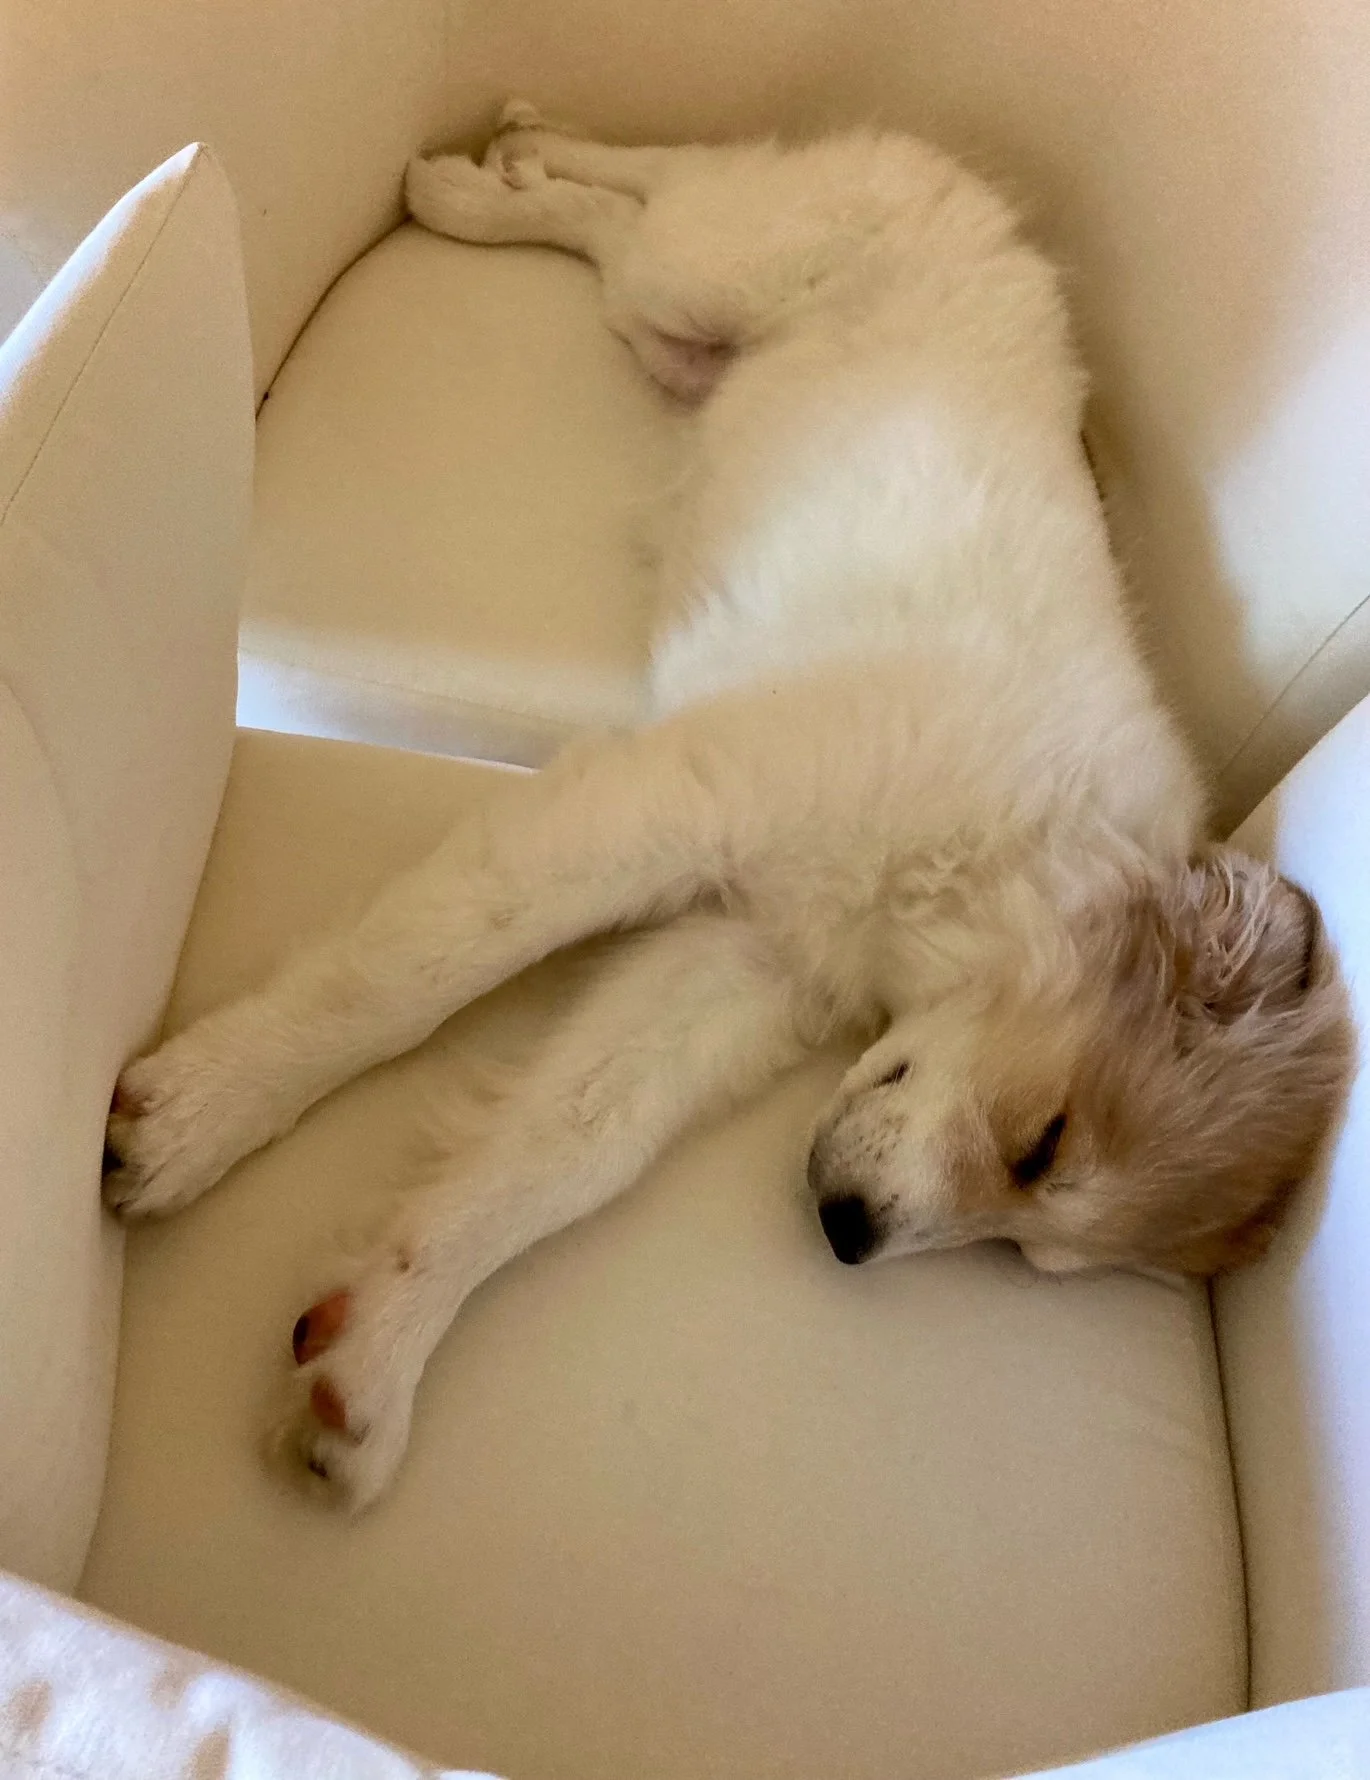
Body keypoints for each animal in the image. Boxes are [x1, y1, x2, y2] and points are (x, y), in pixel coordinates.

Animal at [102, 108, 1352, 1509]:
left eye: (1028, 1252)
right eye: (1041, 1145)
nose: (846, 1235)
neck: (1003, 853)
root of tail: (962, 181)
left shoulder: (742, 961)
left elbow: (566, 1151)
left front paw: (372, 1356)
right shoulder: (667, 801)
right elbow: (397, 985)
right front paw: (200, 1115)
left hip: (675, 336)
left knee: (617, 232)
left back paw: (513, 164)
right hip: (714, 268)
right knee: (649, 193)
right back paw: (480, 179)